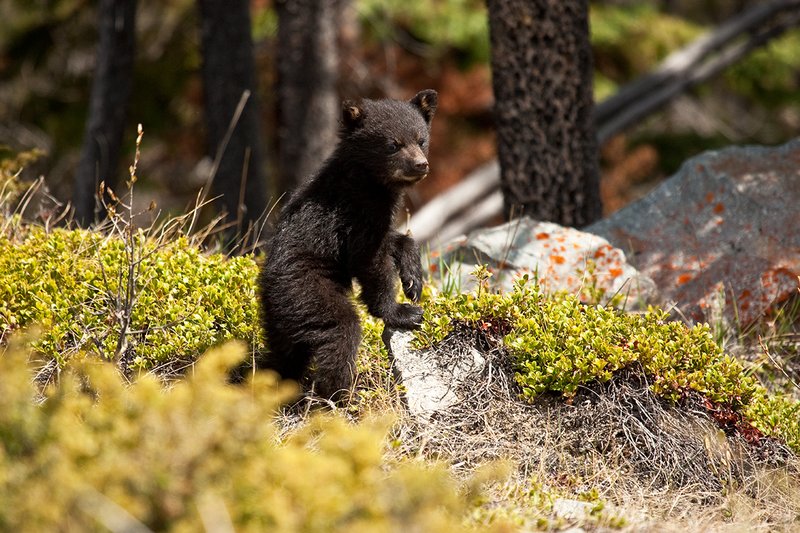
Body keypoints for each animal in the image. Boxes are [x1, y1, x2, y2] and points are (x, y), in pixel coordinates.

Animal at [257, 89, 438, 400]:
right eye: (393, 144)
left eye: (421, 139)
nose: (420, 165)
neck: (370, 182)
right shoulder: (352, 216)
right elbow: (370, 262)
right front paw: (402, 312)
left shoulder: (376, 215)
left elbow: (393, 239)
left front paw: (413, 279)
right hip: (307, 290)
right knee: (341, 330)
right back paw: (339, 393)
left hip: (279, 318)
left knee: (285, 354)